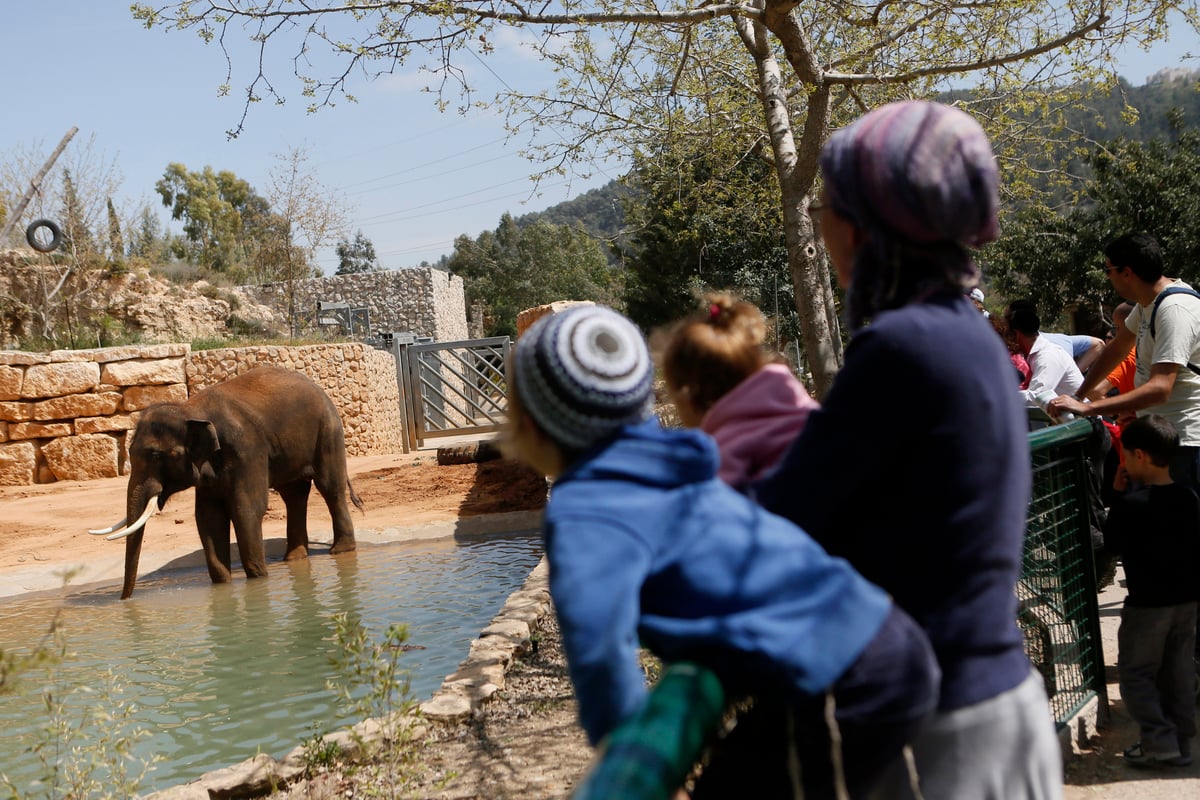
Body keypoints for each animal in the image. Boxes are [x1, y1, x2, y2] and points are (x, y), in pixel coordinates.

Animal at [90, 367, 360, 597]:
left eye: (157, 456)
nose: (124, 599)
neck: (191, 409)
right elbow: (208, 517)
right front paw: (223, 585)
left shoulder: (248, 450)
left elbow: (246, 509)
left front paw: (259, 580)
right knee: (293, 495)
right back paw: (293, 559)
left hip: (328, 431)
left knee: (329, 487)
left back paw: (340, 551)